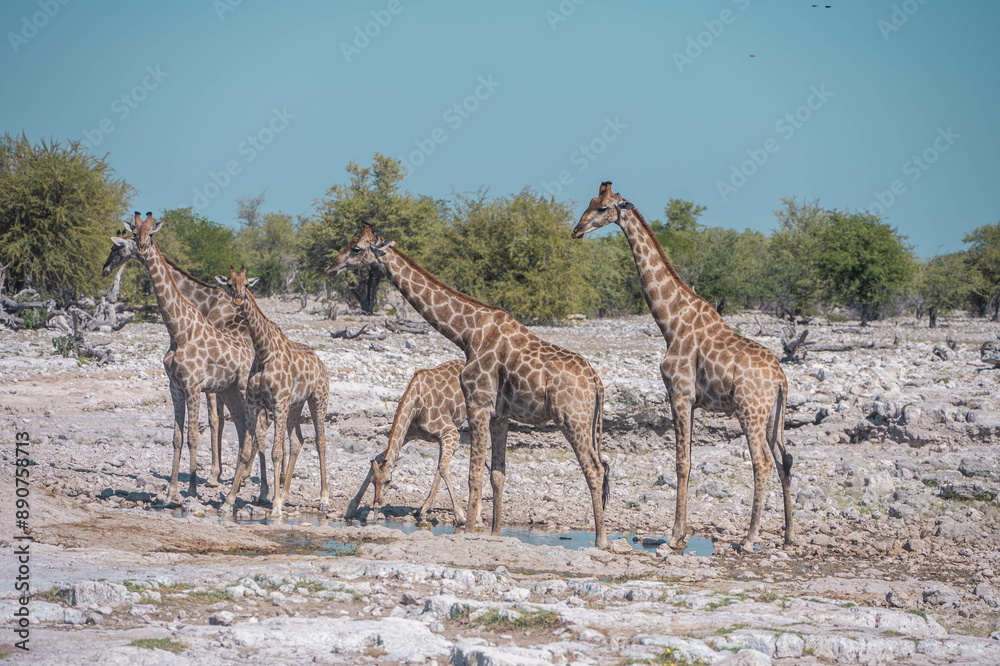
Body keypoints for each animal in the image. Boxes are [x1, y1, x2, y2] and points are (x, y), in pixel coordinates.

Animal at [102, 236, 269, 496]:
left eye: (116, 247)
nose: (105, 268)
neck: (204, 302)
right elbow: (213, 423)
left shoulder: (203, 383)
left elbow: (213, 421)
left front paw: (212, 476)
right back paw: (245, 477)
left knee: (257, 423)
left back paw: (247, 479)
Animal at [215, 267, 331, 517]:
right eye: (229, 284)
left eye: (247, 284)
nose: (238, 299)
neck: (263, 351)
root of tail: (321, 363)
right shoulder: (253, 404)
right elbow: (244, 451)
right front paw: (228, 501)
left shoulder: (278, 403)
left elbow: (276, 452)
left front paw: (275, 506)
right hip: (296, 405)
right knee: (297, 441)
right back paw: (286, 495)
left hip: (318, 399)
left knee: (320, 441)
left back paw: (324, 499)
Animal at [346, 358, 471, 525]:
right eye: (373, 481)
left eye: (388, 481)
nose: (377, 503)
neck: (417, 403)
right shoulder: (410, 434)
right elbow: (379, 457)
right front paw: (351, 507)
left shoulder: (450, 431)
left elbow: (444, 468)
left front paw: (460, 516)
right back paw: (424, 508)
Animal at [573, 182, 793, 550]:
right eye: (589, 202)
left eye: (603, 208)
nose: (576, 230)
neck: (670, 321)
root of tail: (780, 378)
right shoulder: (691, 400)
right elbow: (688, 461)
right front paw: (683, 532)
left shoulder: (679, 393)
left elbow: (681, 462)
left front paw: (675, 535)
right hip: (774, 415)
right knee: (783, 458)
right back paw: (789, 535)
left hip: (750, 410)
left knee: (761, 461)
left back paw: (749, 539)